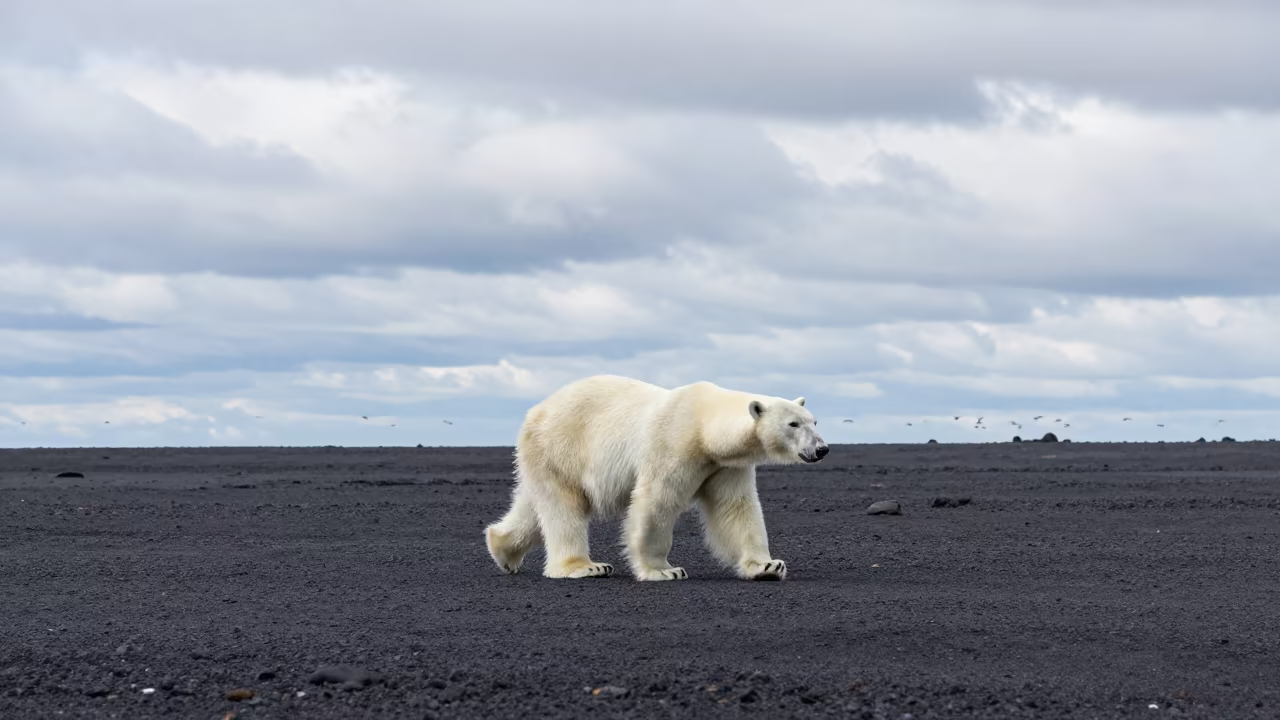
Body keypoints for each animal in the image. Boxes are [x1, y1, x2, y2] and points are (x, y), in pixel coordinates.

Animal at [484, 374, 829, 581]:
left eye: (813, 421)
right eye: (793, 424)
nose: (822, 448)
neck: (703, 424)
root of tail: (535, 411)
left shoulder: (723, 465)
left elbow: (735, 509)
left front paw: (767, 566)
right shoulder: (673, 445)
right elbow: (657, 502)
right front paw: (663, 571)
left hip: (546, 458)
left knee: (535, 506)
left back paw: (502, 548)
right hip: (563, 447)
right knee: (564, 508)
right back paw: (585, 566)